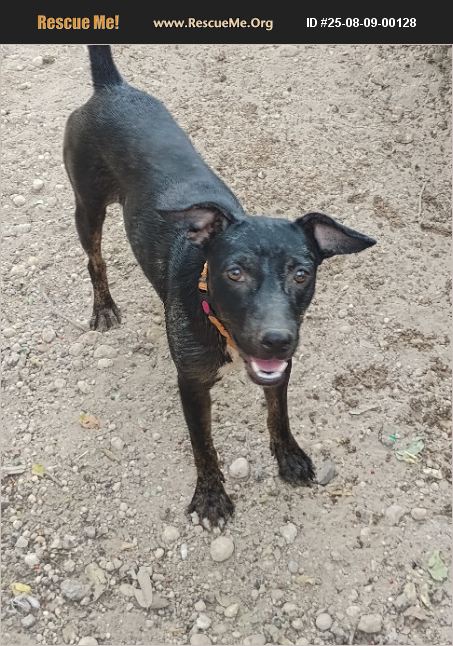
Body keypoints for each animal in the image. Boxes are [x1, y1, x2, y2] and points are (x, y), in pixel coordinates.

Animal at [64, 46, 376, 527]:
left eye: (301, 274)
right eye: (235, 273)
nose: (276, 339)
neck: (215, 314)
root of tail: (111, 88)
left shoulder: (281, 370)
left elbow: (278, 414)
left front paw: (289, 456)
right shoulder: (191, 383)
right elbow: (203, 446)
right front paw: (211, 495)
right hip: (88, 206)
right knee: (94, 259)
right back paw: (103, 306)